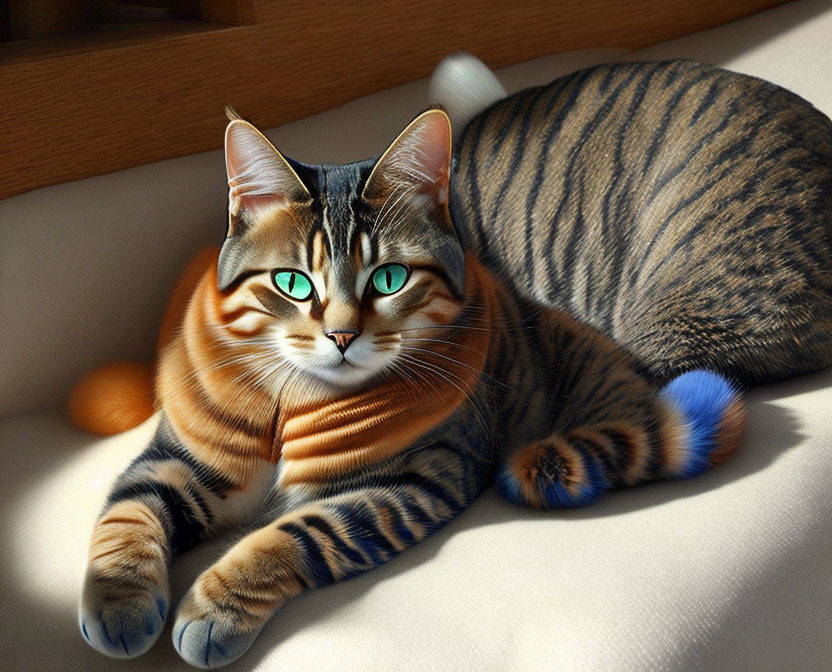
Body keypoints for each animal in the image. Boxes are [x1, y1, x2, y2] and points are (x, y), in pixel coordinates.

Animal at [78, 56, 832, 668]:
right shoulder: (183, 455)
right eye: (292, 283)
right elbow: (131, 512)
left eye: (387, 280)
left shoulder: (410, 478)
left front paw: (216, 606)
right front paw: (117, 599)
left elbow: (300, 534)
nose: (342, 336)